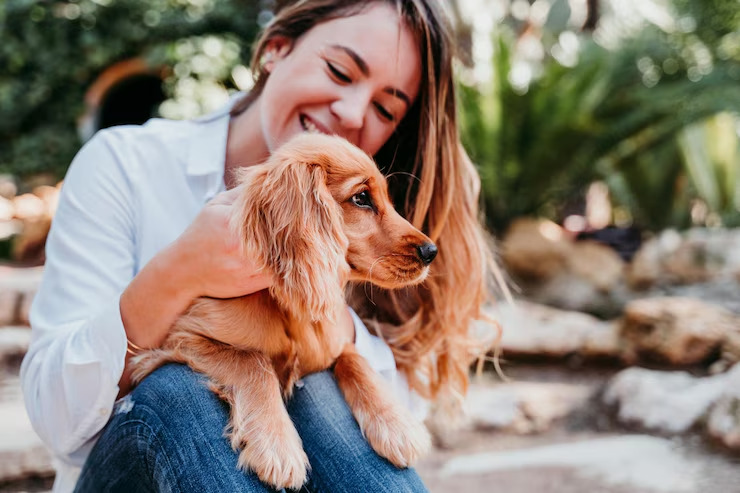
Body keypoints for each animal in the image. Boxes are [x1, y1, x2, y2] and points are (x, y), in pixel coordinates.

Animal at [131, 132, 436, 488]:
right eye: (361, 198)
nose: (431, 251)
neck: (286, 308)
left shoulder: (333, 342)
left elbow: (355, 359)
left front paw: (397, 426)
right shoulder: (177, 339)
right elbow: (253, 361)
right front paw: (277, 447)